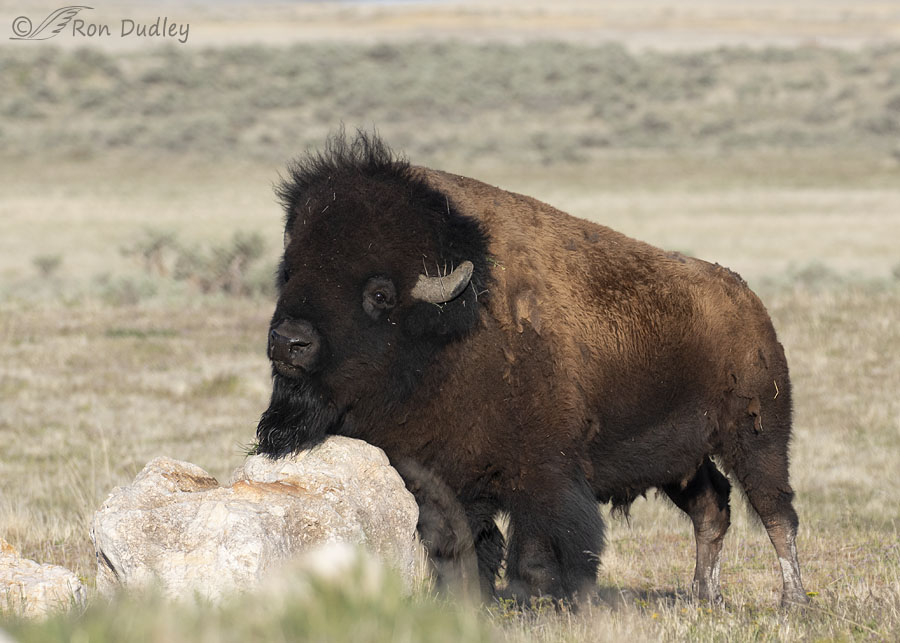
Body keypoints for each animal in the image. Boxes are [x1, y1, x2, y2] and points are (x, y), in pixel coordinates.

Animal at [256, 132, 808, 607]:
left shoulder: (545, 475)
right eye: (289, 271)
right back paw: (704, 596)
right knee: (711, 508)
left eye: (379, 295)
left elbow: (542, 551)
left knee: (776, 512)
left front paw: (551, 603)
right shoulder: (445, 479)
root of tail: (749, 304)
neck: (456, 322)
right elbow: (464, 547)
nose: (289, 342)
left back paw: (793, 603)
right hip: (684, 458)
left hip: (756, 436)